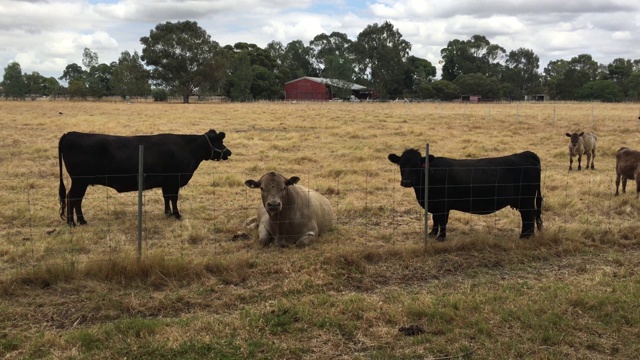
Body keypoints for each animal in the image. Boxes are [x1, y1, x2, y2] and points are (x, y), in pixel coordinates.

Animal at [58, 129, 231, 225]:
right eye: (219, 141)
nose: (229, 152)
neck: (187, 148)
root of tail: (70, 134)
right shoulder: (174, 180)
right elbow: (174, 198)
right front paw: (177, 214)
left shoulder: (166, 182)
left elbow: (166, 197)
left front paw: (167, 213)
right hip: (80, 181)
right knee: (72, 198)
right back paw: (72, 223)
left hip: (82, 182)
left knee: (76, 199)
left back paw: (81, 221)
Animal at [388, 149, 544, 242]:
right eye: (401, 164)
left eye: (417, 165)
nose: (406, 182)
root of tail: (525, 154)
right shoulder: (435, 205)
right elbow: (435, 219)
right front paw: (432, 234)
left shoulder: (443, 205)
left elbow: (442, 221)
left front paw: (441, 237)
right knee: (528, 217)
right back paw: (527, 236)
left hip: (526, 200)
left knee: (529, 216)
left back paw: (524, 236)